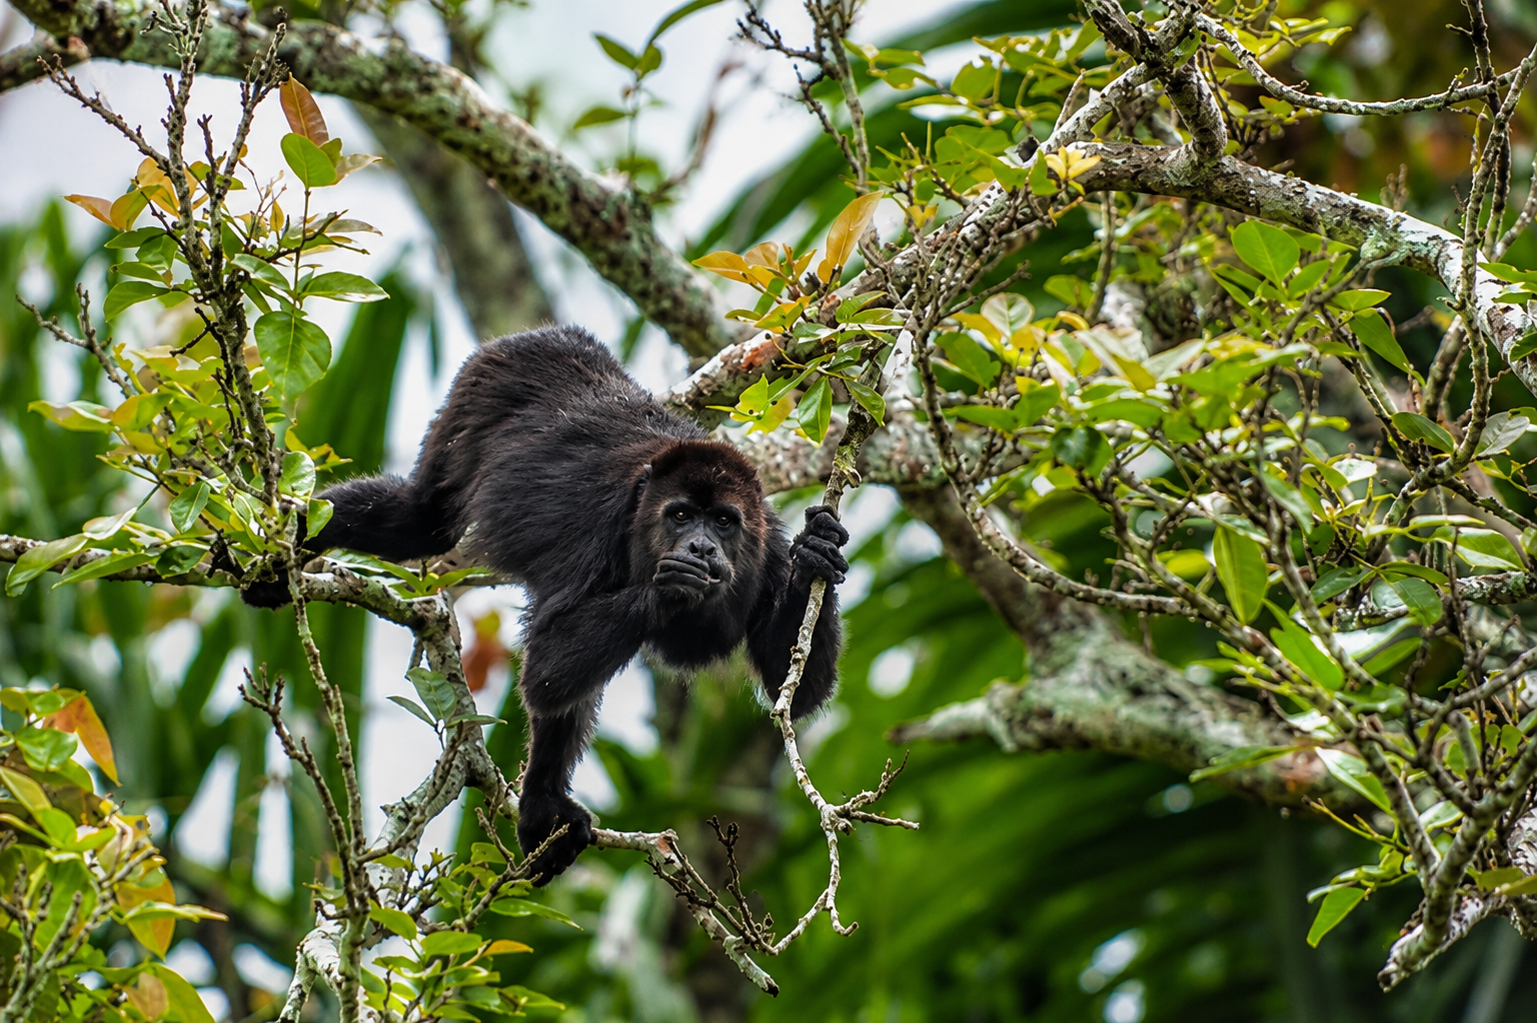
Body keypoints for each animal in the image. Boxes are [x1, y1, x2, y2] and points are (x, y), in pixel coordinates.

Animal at [240, 326, 849, 883]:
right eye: (679, 516)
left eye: (723, 521)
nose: (700, 547)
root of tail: (548, 335)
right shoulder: (598, 533)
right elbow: (549, 670)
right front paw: (667, 586)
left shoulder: (767, 547)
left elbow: (795, 695)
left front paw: (815, 554)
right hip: (474, 394)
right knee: (418, 519)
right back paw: (280, 555)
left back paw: (542, 808)